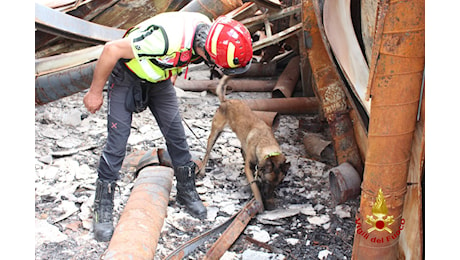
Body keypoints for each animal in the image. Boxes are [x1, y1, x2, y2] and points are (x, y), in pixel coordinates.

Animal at [200, 75, 290, 211]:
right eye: (267, 182)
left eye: (277, 184)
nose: (270, 207)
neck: (265, 143)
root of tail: (226, 101)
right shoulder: (249, 167)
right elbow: (255, 186)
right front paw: (259, 202)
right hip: (214, 134)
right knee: (207, 153)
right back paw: (202, 170)